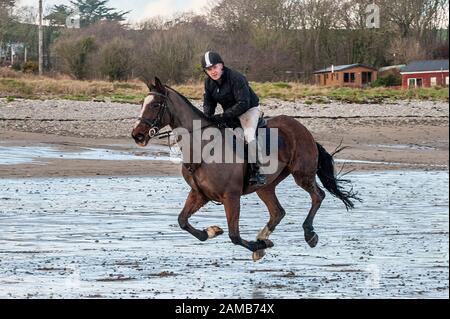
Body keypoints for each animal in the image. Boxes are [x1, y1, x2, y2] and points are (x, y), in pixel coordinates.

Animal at [131, 78, 358, 262]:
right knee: (278, 212)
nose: (137, 135)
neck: (202, 147)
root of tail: (302, 128)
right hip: (265, 186)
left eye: (156, 104)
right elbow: (182, 221)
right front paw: (212, 232)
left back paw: (308, 234)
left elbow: (235, 236)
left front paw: (259, 246)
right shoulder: (199, 194)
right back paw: (263, 239)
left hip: (302, 174)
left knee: (318, 195)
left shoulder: (231, 196)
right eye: (142, 104)